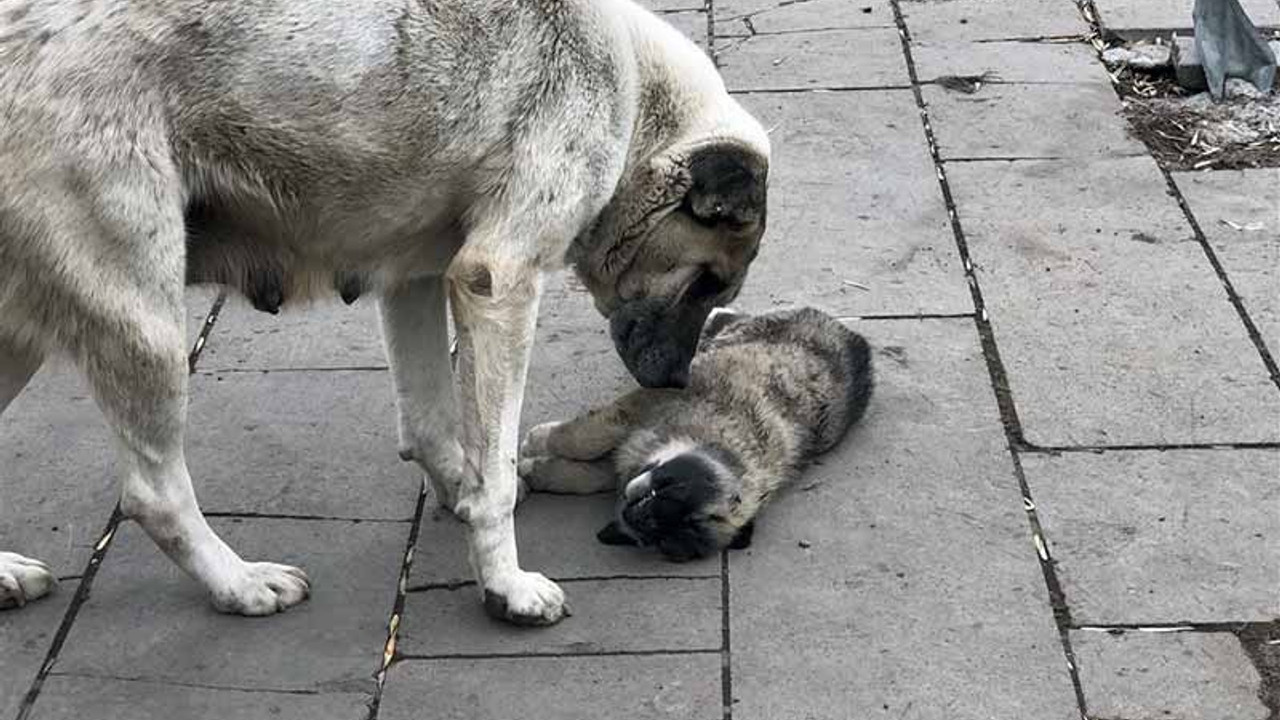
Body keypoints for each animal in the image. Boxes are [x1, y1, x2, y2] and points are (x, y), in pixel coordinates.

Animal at [0, 0, 768, 622]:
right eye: (707, 281)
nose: (674, 384)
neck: (632, 86)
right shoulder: (500, 283)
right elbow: (491, 472)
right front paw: (506, 585)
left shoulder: (414, 281)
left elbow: (433, 427)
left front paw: (464, 495)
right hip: (146, 326)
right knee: (154, 494)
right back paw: (240, 585)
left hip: (25, 336)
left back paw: (7, 577)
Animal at [517, 304, 870, 558]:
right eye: (677, 494)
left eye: (664, 542)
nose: (640, 520)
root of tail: (852, 336)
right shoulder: (645, 405)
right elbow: (584, 438)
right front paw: (537, 440)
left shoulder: (628, 458)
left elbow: (586, 476)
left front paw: (535, 471)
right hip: (745, 330)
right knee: (725, 320)